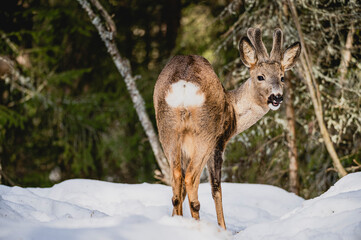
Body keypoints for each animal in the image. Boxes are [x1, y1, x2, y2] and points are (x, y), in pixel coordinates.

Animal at [153, 27, 300, 229]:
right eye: (260, 77)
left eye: (282, 77)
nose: (276, 97)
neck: (233, 108)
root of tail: (183, 85)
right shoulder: (220, 141)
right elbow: (216, 187)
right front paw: (223, 228)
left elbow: (182, 189)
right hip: (205, 132)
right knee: (191, 177)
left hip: (168, 129)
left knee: (176, 179)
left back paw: (178, 220)